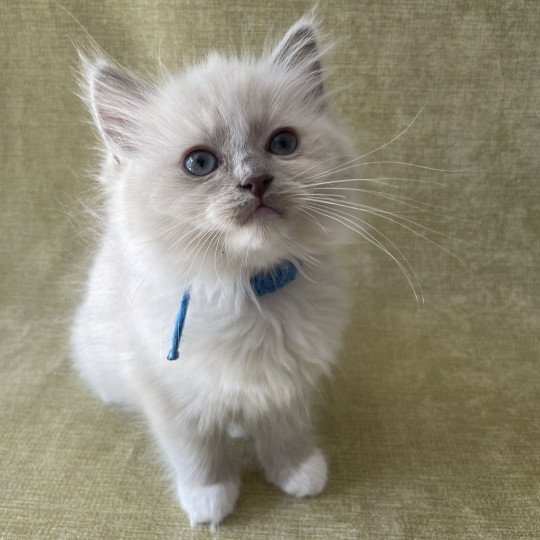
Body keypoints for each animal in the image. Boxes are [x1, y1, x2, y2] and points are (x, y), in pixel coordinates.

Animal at [71, 15, 356, 528]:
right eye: (200, 163)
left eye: (283, 144)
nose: (256, 181)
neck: (248, 289)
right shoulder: (168, 394)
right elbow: (197, 454)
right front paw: (210, 501)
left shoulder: (289, 381)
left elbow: (287, 433)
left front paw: (298, 474)